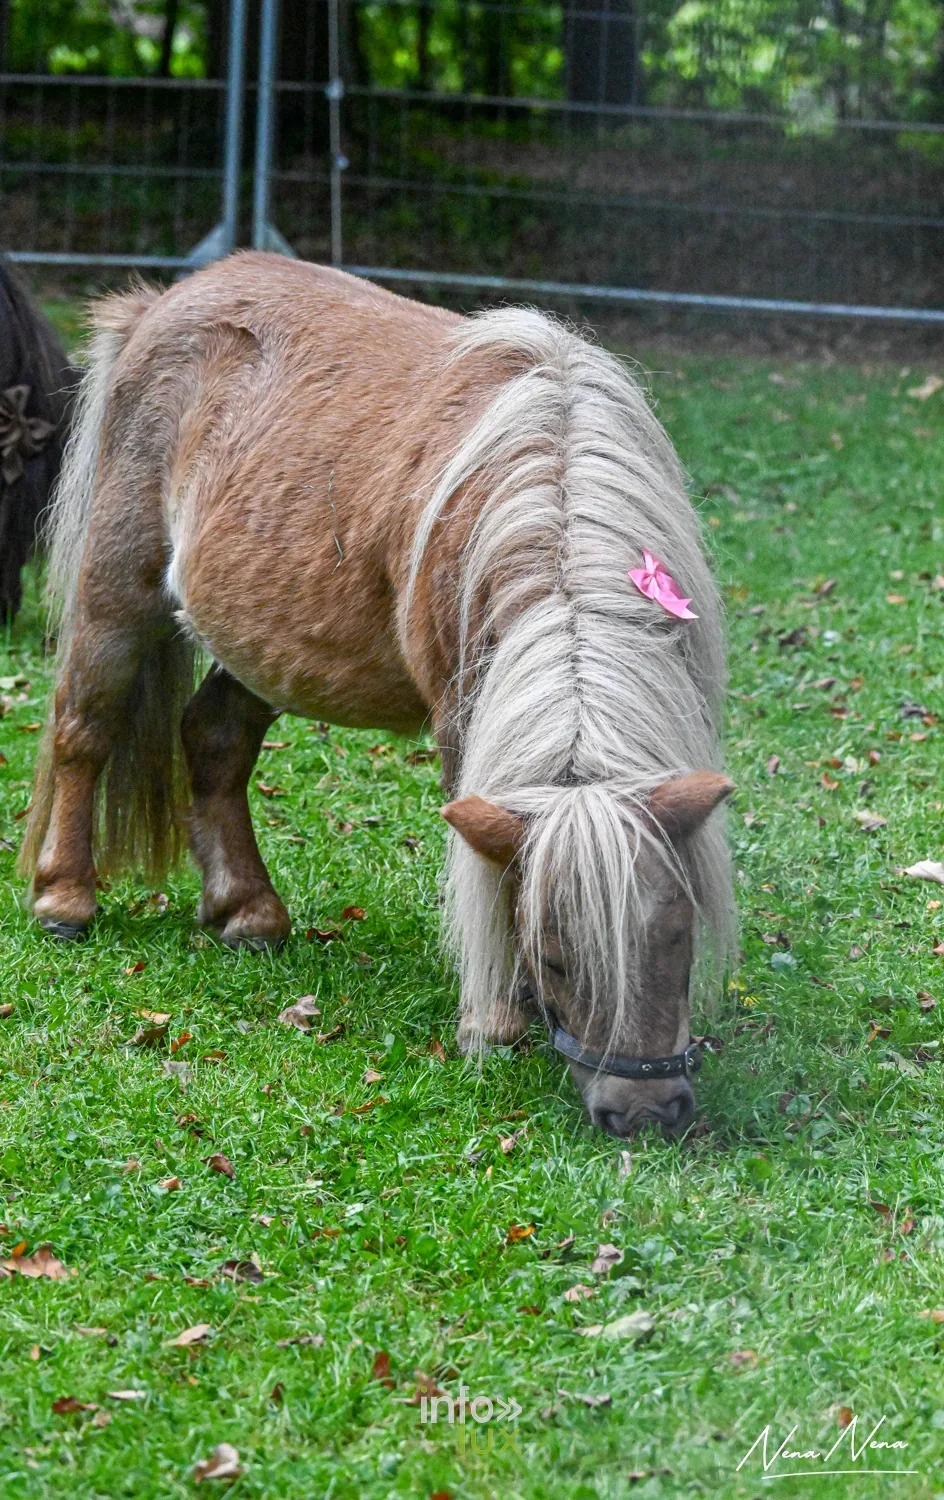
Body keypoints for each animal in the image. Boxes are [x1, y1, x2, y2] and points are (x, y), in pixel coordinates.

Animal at [19, 252, 735, 1138]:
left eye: (677, 935)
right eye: (557, 956)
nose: (644, 1112)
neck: (550, 480)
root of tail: (162, 303)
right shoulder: (464, 714)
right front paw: (494, 1023)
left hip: (266, 645)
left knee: (214, 739)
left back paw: (246, 912)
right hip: (119, 592)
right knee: (84, 727)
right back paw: (65, 899)